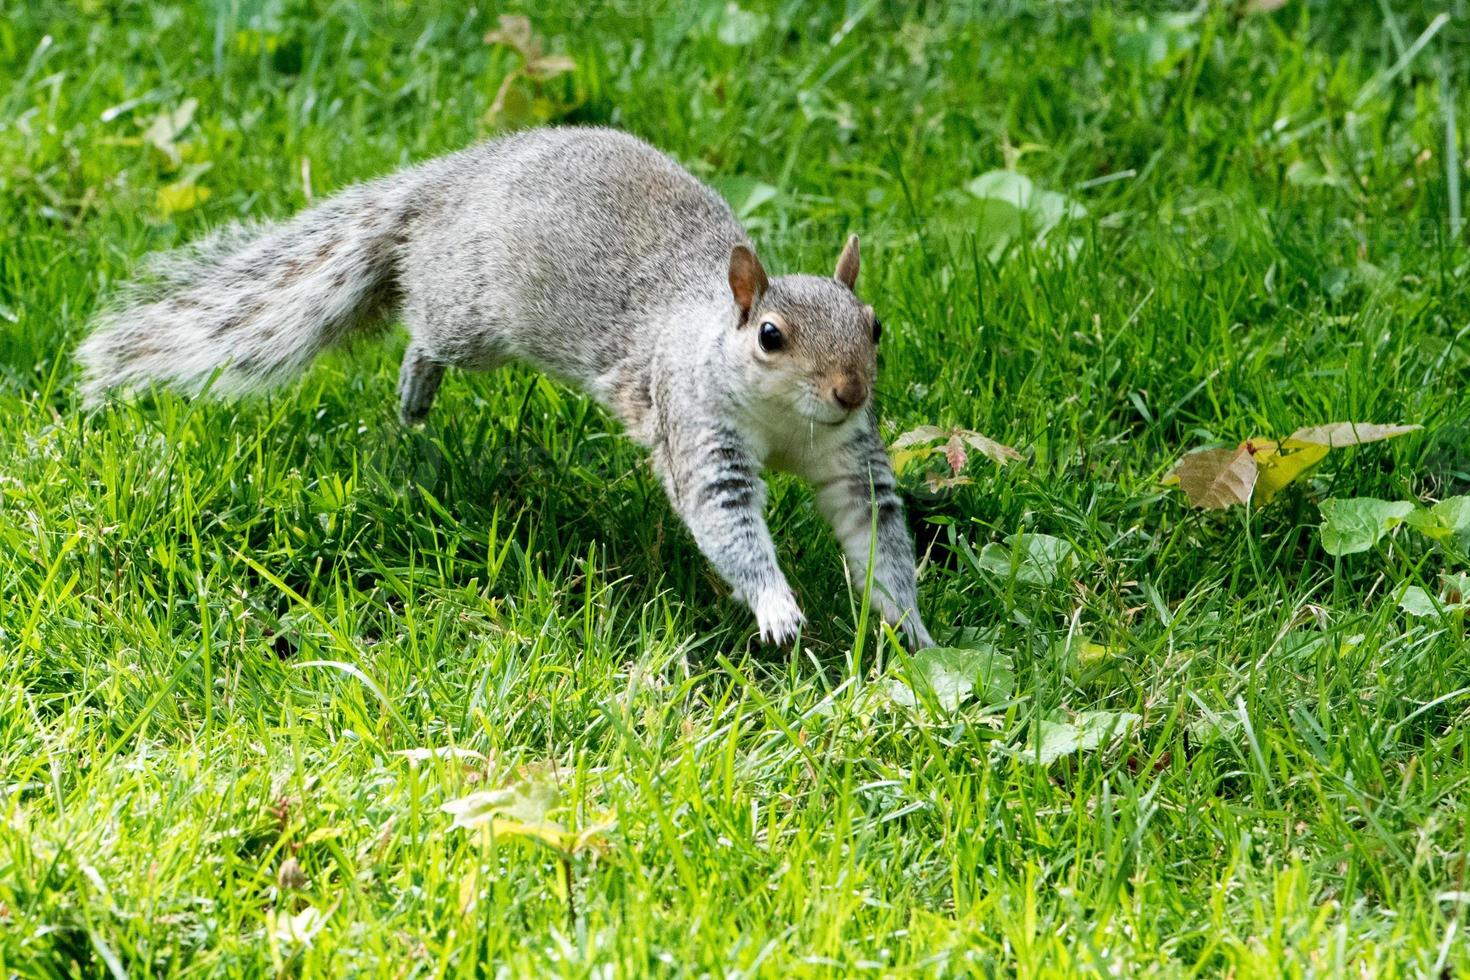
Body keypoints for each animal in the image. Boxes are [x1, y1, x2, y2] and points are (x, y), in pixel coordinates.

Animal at [77, 130, 929, 652]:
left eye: (874, 325)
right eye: (771, 337)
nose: (851, 391)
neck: (785, 421)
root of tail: (455, 176)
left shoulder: (849, 458)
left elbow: (876, 534)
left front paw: (910, 626)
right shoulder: (697, 425)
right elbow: (727, 522)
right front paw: (777, 608)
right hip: (471, 316)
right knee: (425, 328)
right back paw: (414, 389)